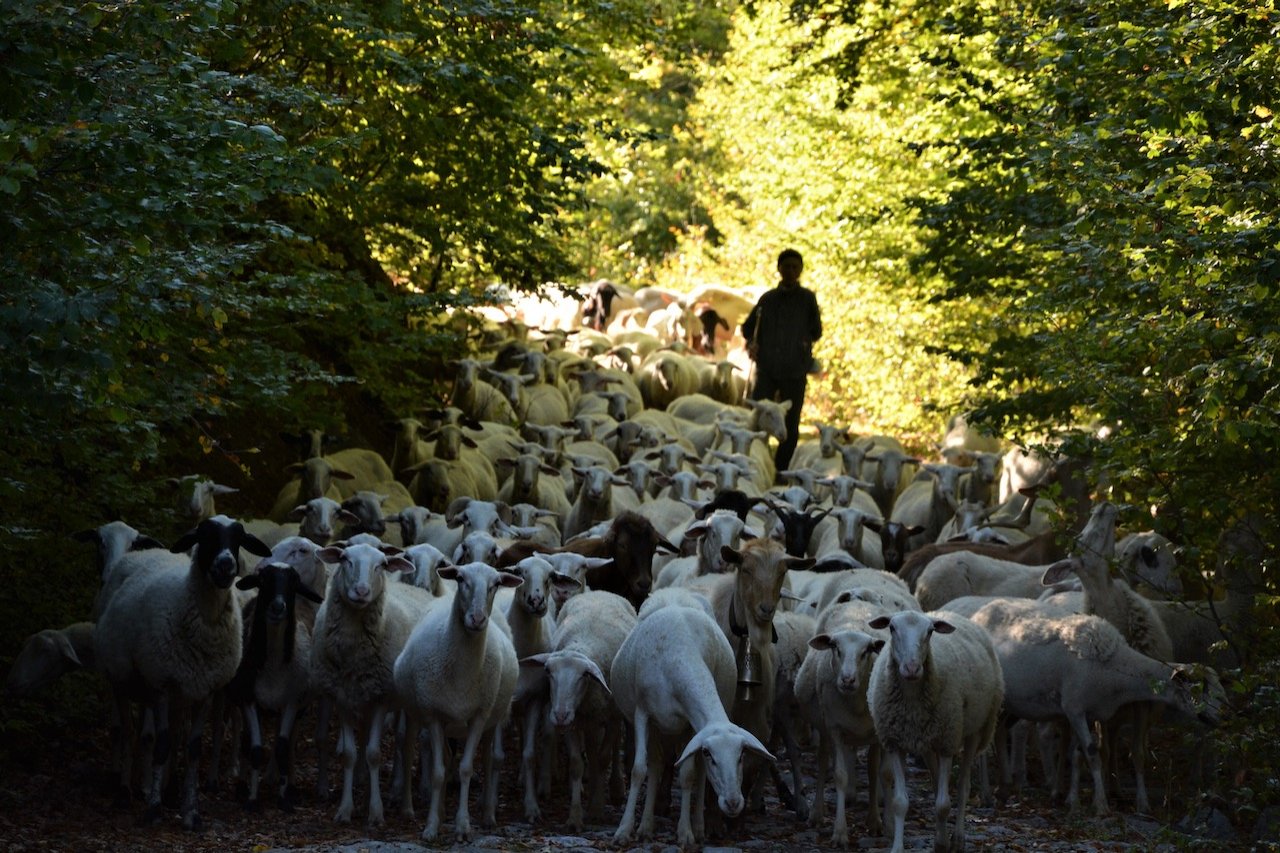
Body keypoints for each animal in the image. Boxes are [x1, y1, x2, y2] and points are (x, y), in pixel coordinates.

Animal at [94, 512, 275, 824]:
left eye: (238, 538)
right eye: (205, 535)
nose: (226, 565)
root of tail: (146, 553)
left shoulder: (204, 689)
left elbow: (192, 748)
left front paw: (190, 812)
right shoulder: (161, 684)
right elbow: (162, 745)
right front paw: (153, 808)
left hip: (175, 689)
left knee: (170, 733)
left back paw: (168, 790)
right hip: (121, 677)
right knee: (127, 732)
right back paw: (125, 790)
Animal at [394, 558, 524, 835]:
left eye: (496, 583)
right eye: (461, 579)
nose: (477, 618)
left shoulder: (479, 716)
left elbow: (465, 769)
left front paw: (463, 825)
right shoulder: (433, 715)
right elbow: (437, 773)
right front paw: (432, 826)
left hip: (492, 718)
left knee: (488, 759)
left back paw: (487, 813)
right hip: (415, 713)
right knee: (410, 751)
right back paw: (409, 809)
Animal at [519, 589, 640, 824]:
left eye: (583, 675)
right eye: (548, 671)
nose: (559, 715)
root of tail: (601, 591)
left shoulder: (611, 716)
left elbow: (603, 758)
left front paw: (596, 807)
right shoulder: (574, 722)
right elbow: (577, 764)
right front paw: (575, 816)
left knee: (613, 749)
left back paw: (616, 789)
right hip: (589, 718)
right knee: (591, 748)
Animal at [606, 591, 768, 845]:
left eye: (741, 755)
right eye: (711, 755)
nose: (733, 803)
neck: (681, 660)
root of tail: (677, 592)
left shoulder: (691, 726)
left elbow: (688, 774)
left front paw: (686, 834)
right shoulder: (642, 714)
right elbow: (639, 769)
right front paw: (623, 830)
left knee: (694, 773)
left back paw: (699, 827)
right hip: (657, 727)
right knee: (655, 764)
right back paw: (646, 826)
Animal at [865, 604, 1003, 850]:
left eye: (930, 632)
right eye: (892, 628)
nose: (911, 668)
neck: (911, 700)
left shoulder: (948, 741)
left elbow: (943, 804)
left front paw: (942, 844)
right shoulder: (894, 743)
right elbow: (900, 802)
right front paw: (898, 847)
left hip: (975, 730)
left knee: (963, 787)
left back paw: (956, 837)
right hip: (928, 742)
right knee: (938, 780)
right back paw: (943, 835)